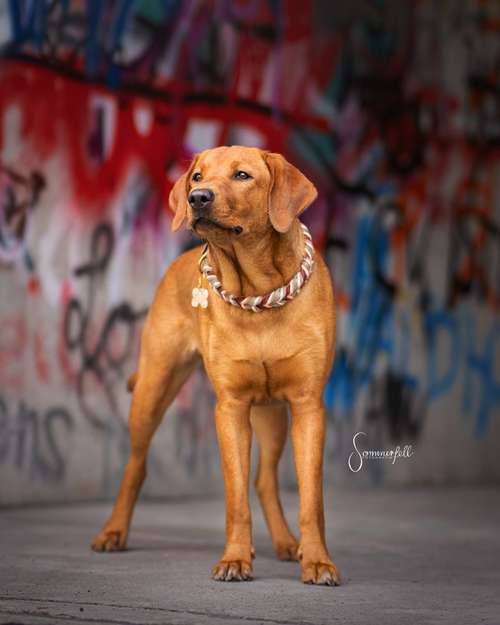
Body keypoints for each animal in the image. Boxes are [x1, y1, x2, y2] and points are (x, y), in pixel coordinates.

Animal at [91, 146, 340, 584]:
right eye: (197, 176)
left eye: (242, 175)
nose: (197, 198)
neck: (258, 285)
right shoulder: (231, 408)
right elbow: (235, 495)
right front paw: (235, 558)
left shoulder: (308, 405)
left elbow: (312, 499)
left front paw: (317, 561)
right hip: (154, 386)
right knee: (135, 466)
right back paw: (113, 532)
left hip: (272, 413)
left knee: (264, 479)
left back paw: (285, 543)